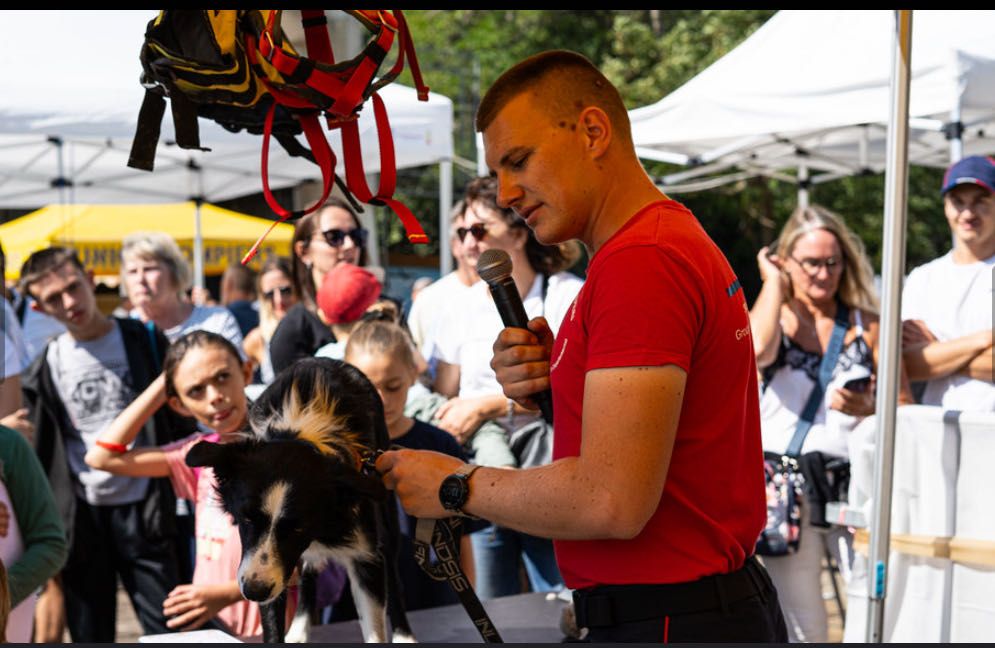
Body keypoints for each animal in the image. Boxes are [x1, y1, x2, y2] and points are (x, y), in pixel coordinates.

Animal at [185, 360, 414, 644]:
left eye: (298, 529)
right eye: (247, 518)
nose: (254, 591)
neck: (302, 432)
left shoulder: (365, 554)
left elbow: (375, 628)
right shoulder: (266, 569)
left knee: (392, 571)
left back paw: (405, 636)